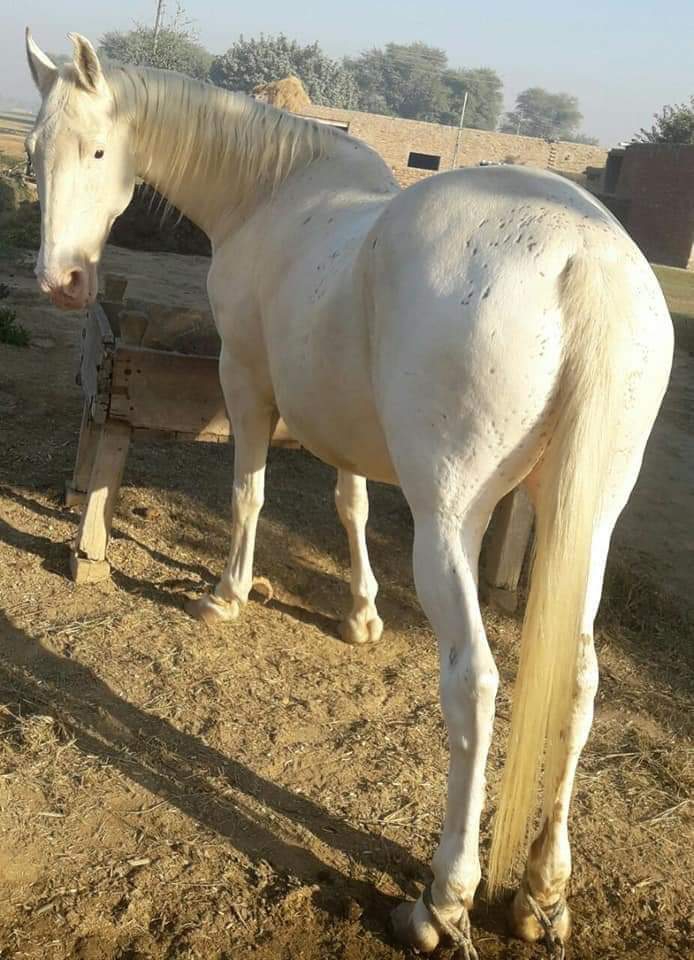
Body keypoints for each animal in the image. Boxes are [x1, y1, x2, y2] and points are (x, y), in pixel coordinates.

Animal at [25, 30, 673, 959]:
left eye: (100, 152)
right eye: (35, 153)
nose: (63, 281)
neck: (270, 192)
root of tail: (587, 261)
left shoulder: (247, 383)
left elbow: (250, 496)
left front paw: (226, 595)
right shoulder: (343, 420)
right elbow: (351, 505)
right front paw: (361, 614)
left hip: (450, 524)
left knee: (474, 684)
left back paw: (443, 900)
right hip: (584, 525)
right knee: (579, 683)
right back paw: (543, 891)